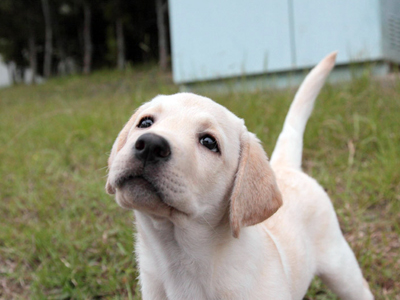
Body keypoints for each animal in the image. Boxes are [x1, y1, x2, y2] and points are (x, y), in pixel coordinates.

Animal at [105, 53, 372, 300]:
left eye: (209, 142)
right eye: (145, 122)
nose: (150, 144)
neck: (179, 255)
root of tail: (285, 167)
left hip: (340, 266)